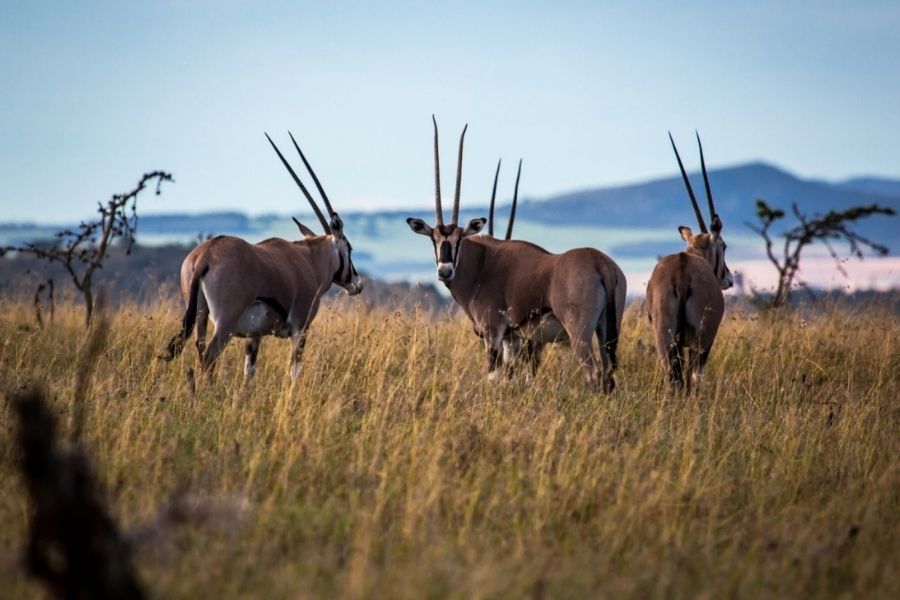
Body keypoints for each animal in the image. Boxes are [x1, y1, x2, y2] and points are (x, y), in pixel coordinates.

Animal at [162, 134, 362, 380]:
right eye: (349, 248)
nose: (357, 284)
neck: (310, 259)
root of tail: (203, 256)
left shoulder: (254, 335)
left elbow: (249, 373)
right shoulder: (301, 328)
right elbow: (294, 371)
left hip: (201, 317)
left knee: (200, 352)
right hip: (225, 323)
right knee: (209, 357)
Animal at [408, 119, 624, 392]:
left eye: (459, 239)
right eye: (433, 239)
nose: (445, 271)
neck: (482, 266)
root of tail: (601, 264)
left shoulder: (494, 332)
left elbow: (494, 376)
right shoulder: (513, 337)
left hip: (580, 334)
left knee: (594, 373)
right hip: (607, 332)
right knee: (608, 374)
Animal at [652, 132, 736, 390]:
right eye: (724, 246)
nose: (730, 279)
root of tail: (681, 275)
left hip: (665, 337)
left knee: (673, 375)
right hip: (702, 340)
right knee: (692, 376)